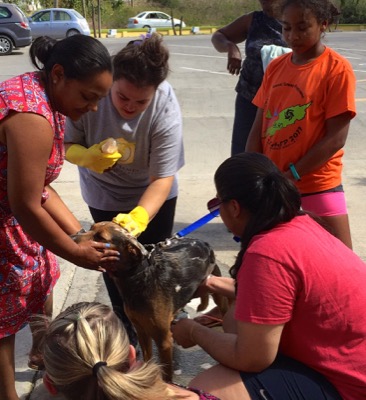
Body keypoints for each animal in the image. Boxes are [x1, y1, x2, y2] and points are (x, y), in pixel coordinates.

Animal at [72, 222, 227, 382]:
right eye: (91, 228)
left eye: (100, 237)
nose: (72, 238)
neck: (138, 277)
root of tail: (203, 243)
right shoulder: (141, 331)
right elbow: (147, 360)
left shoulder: (163, 341)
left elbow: (167, 374)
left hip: (218, 294)